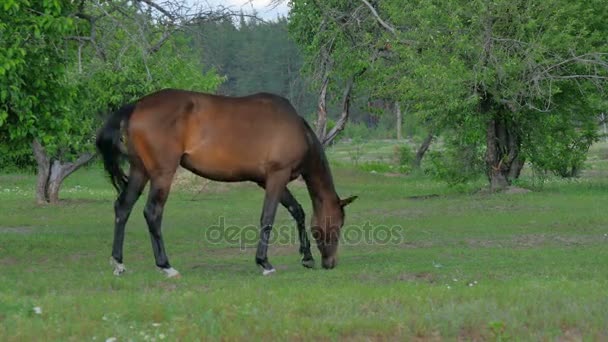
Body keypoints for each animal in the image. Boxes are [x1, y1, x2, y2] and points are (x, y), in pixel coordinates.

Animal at [95, 88, 356, 278]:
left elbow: (297, 211)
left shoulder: (267, 181)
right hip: (162, 174)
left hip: (140, 172)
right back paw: (165, 265)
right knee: (152, 212)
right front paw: (264, 263)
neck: (297, 129)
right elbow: (268, 218)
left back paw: (118, 263)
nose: (331, 262)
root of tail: (137, 105)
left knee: (123, 207)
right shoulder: (277, 177)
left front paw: (306, 257)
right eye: (339, 224)